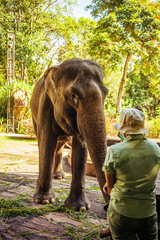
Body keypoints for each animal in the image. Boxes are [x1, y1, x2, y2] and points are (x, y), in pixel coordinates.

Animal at [30, 59, 109, 211]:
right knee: (41, 141)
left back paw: (59, 176)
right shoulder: (45, 104)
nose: (106, 207)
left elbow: (80, 147)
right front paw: (44, 200)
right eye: (73, 96)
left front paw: (80, 207)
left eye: (106, 94)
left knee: (60, 144)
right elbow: (46, 141)